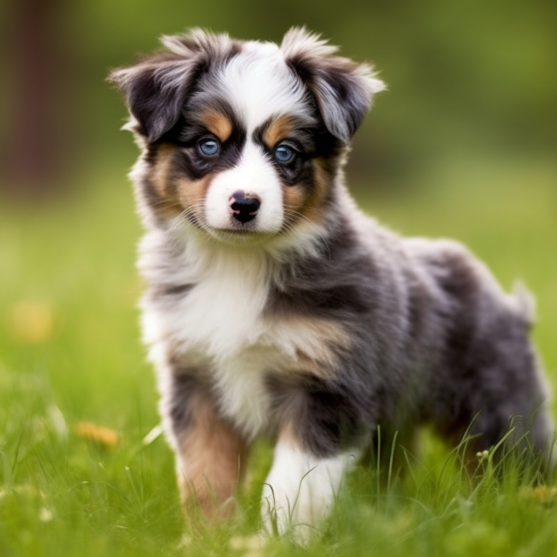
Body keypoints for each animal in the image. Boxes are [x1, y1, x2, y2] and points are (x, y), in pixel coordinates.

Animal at [107, 27, 552, 540]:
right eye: (207, 145)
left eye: (286, 152)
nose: (245, 204)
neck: (238, 265)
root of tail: (506, 302)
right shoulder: (196, 382)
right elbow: (205, 479)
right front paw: (207, 541)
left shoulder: (330, 389)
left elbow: (290, 485)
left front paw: (272, 543)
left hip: (500, 414)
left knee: (518, 468)